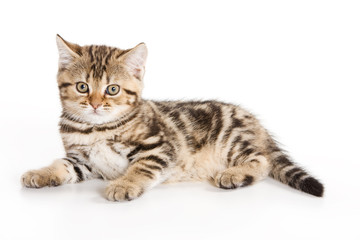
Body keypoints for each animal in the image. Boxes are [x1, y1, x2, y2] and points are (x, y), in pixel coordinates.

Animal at [20, 35, 324, 201]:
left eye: (112, 89)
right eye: (82, 87)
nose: (95, 104)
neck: (95, 128)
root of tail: (254, 121)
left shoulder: (160, 147)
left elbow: (141, 168)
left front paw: (124, 184)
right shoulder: (84, 161)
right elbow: (62, 165)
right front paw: (41, 173)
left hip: (232, 139)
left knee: (262, 160)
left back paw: (234, 174)